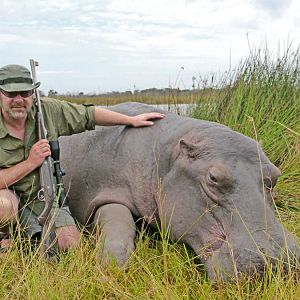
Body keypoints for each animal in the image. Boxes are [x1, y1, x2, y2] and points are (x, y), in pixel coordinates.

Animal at [59, 102, 300, 280]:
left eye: (275, 175)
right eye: (213, 178)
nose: (279, 259)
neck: (166, 156)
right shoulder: (103, 190)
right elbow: (119, 222)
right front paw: (110, 268)